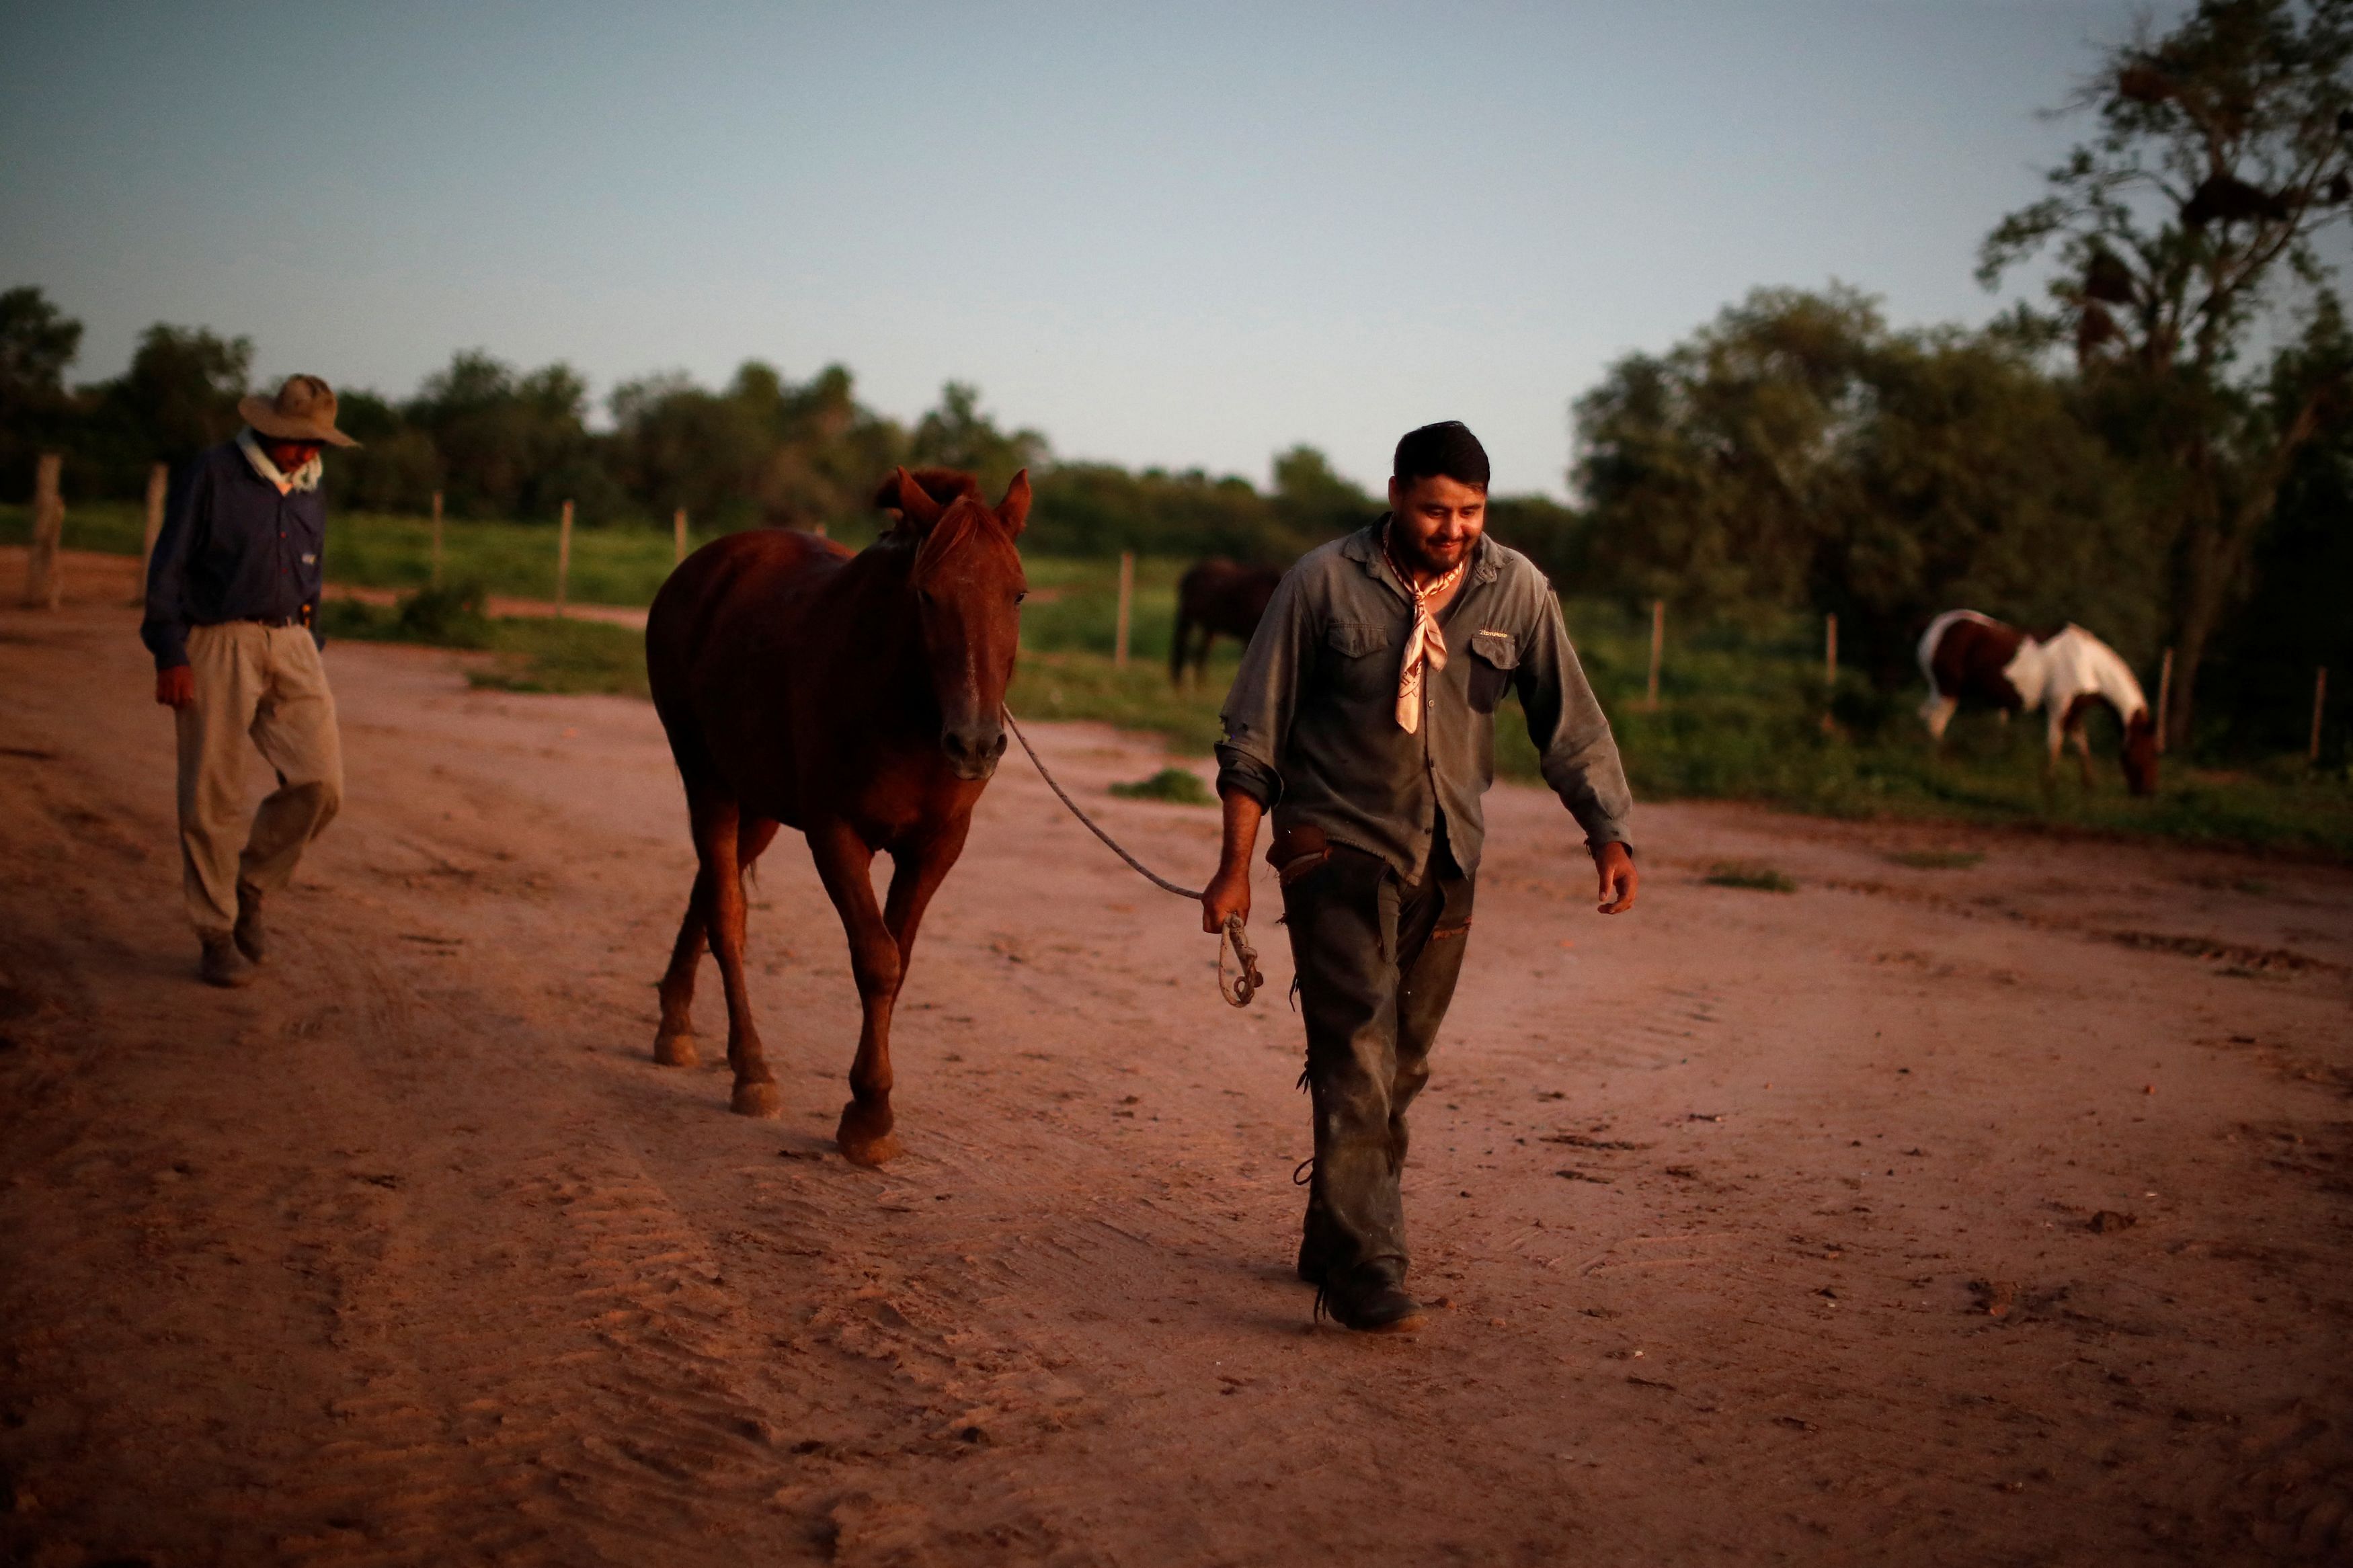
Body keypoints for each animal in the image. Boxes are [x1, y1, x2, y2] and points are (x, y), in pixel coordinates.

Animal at [640, 465, 1026, 1165]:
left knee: (710, 890)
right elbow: (876, 960)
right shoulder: (836, 834)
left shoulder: (935, 847)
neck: (903, 708)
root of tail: (704, 565)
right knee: (727, 915)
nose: (976, 743)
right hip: (707, 780)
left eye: (1017, 595)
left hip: (758, 805)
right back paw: (751, 1069)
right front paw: (869, 1115)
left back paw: (675, 1024)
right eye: (926, 594)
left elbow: (899, 962)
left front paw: (870, 1108)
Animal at [1167, 564, 1280, 686]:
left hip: (1209, 628)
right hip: (1187, 621)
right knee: (1183, 649)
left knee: (1199, 654)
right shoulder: (1248, 636)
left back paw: (1199, 684)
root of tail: (1190, 575)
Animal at [1920, 611, 2155, 799]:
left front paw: (2088, 787)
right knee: (1935, 725)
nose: (2147, 791)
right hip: (1946, 692)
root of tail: (1934, 627)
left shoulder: (2074, 713)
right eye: (2146, 749)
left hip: (1941, 693)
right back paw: (1936, 770)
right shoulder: (2058, 709)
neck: (2087, 664)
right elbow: (2054, 745)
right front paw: (2049, 789)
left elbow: (2082, 746)